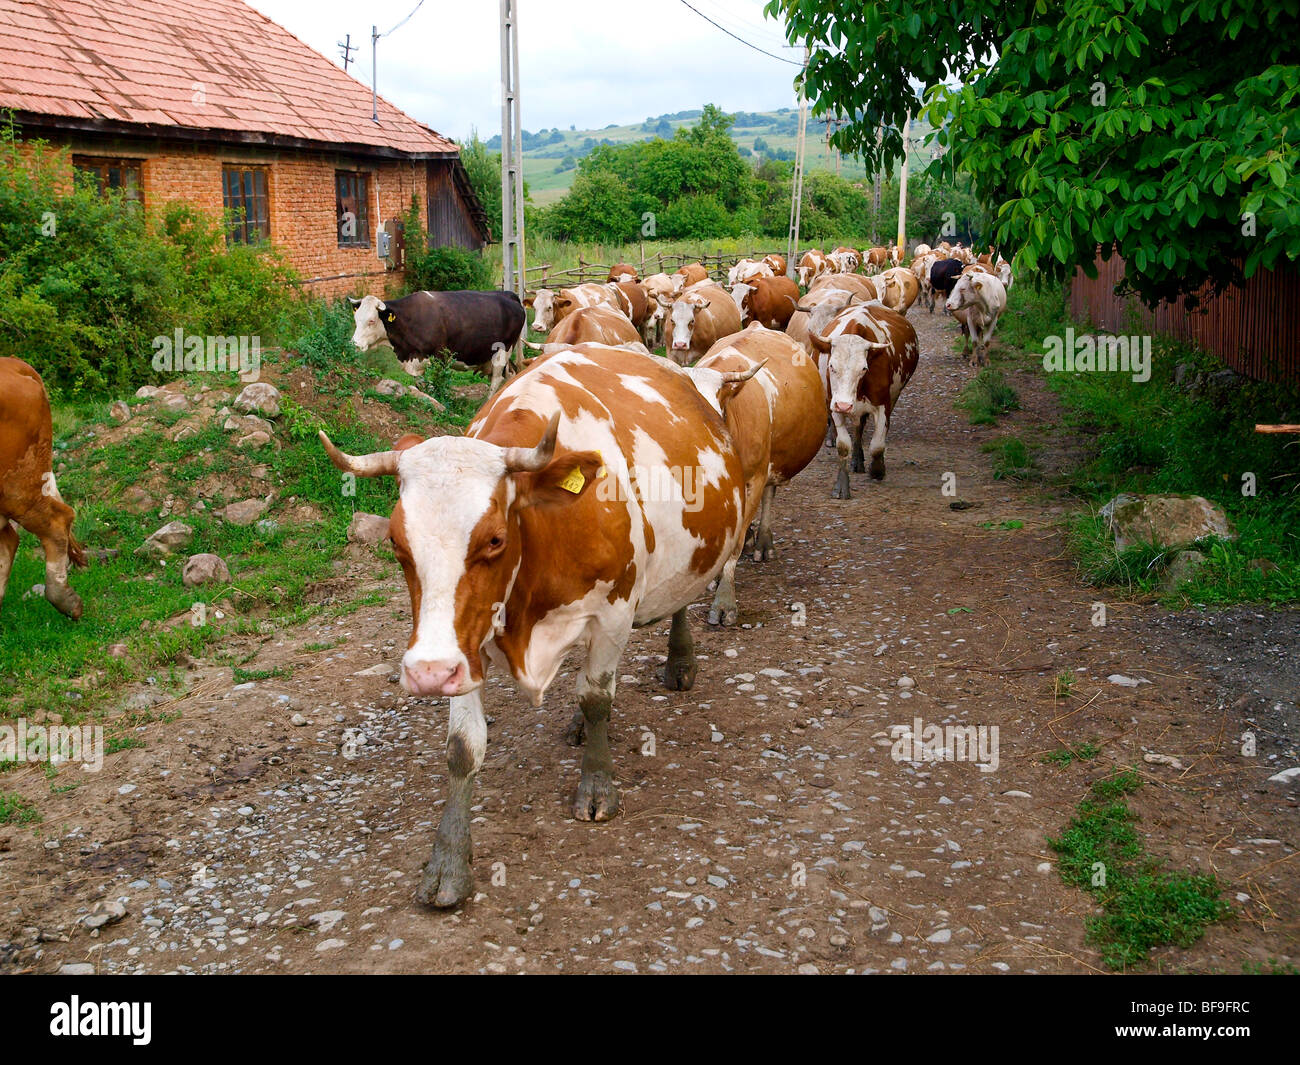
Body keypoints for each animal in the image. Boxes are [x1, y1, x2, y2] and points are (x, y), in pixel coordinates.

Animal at [317, 343, 754, 910]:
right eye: (395, 543)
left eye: (495, 539)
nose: (428, 673)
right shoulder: (465, 641)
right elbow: (463, 748)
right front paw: (448, 864)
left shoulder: (613, 611)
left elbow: (596, 696)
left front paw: (597, 786)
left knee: (674, 605)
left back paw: (678, 662)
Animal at [353, 289, 525, 371]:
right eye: (355, 319)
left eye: (371, 320)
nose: (354, 344)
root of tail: (508, 294)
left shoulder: (439, 358)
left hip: (502, 352)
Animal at [691, 325, 821, 624]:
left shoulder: (754, 478)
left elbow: (735, 544)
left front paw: (724, 601)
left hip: (770, 464)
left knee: (769, 495)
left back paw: (762, 540)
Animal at [806, 301, 920, 496]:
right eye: (831, 366)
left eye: (864, 369)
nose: (844, 405)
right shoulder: (833, 405)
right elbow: (843, 445)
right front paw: (842, 485)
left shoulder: (882, 405)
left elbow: (877, 445)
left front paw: (877, 470)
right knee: (858, 428)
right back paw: (857, 460)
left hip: (893, 396)